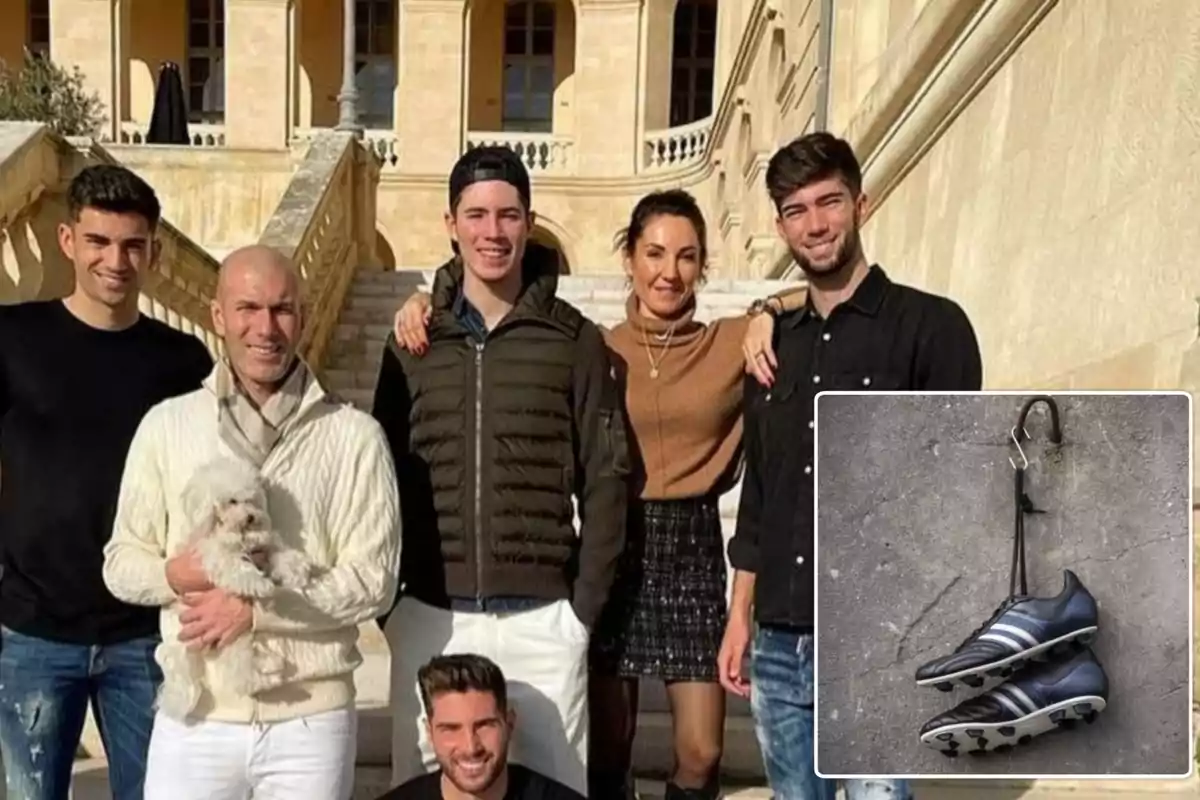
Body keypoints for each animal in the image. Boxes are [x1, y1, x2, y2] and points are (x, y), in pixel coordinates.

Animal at [156, 453, 314, 724]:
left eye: (251, 500)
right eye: (232, 501)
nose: (251, 516)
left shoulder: (265, 543)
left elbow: (279, 550)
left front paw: (295, 569)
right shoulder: (216, 555)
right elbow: (237, 568)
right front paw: (260, 584)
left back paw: (272, 667)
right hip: (231, 640)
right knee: (241, 676)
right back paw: (270, 675)